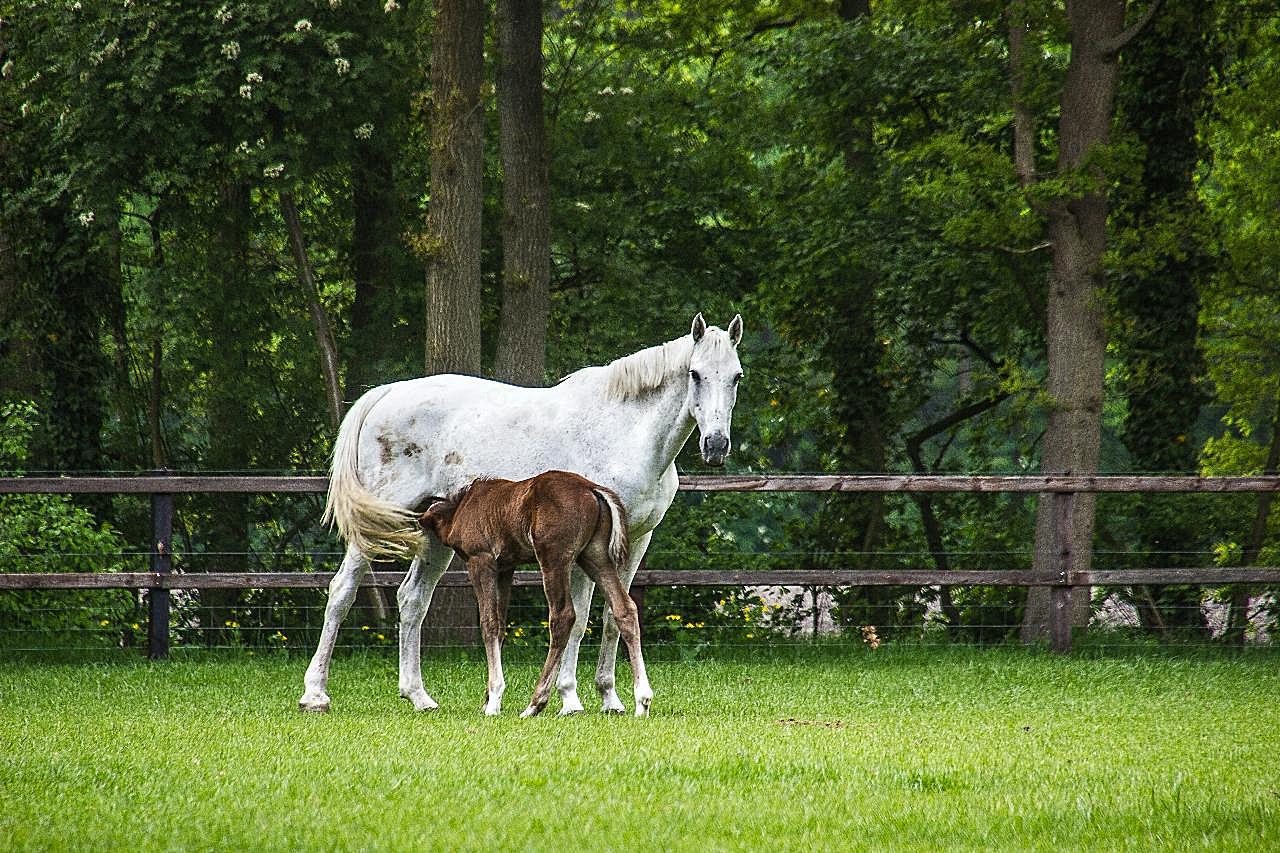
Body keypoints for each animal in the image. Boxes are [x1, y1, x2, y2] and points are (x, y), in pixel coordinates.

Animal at [419, 468, 655, 712]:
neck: (460, 509)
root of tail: (592, 488)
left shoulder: (481, 560)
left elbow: (489, 623)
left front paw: (493, 699)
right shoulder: (505, 568)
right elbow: (501, 625)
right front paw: (490, 700)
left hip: (554, 557)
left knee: (563, 616)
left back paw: (536, 703)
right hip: (595, 556)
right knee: (624, 609)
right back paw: (642, 700)